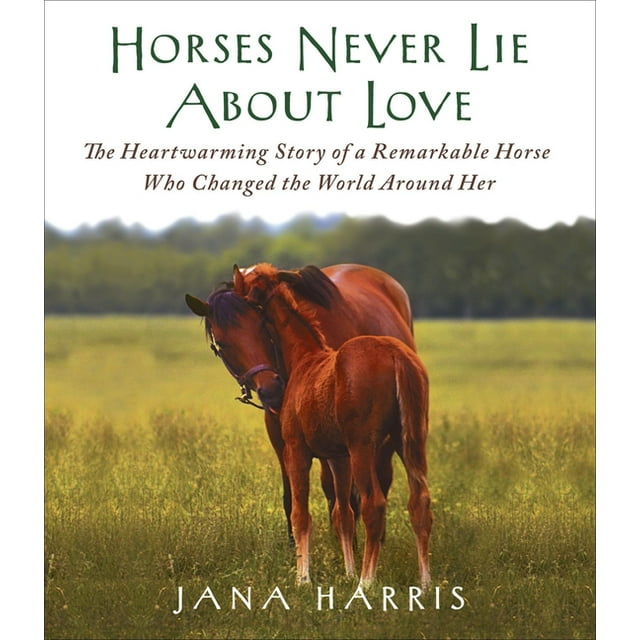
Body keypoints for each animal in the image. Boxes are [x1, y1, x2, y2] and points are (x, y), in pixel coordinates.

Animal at [186, 263, 417, 541]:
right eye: (221, 344)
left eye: (262, 324)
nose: (272, 389)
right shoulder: (280, 434)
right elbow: (291, 497)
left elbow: (343, 496)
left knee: (379, 481)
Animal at [233, 271, 432, 588]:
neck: (305, 358)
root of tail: (395, 355)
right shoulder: (338, 458)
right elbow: (343, 514)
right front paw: (347, 571)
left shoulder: (297, 450)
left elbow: (301, 514)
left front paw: (303, 578)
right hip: (410, 442)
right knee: (420, 501)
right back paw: (424, 583)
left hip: (364, 447)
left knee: (374, 504)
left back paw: (366, 582)